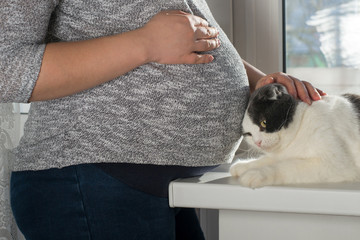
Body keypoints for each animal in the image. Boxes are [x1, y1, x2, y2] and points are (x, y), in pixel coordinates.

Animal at [229, 83, 360, 188]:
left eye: (264, 122)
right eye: (249, 134)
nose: (258, 142)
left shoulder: (336, 164)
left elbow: (286, 166)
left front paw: (257, 173)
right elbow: (266, 159)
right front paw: (244, 165)